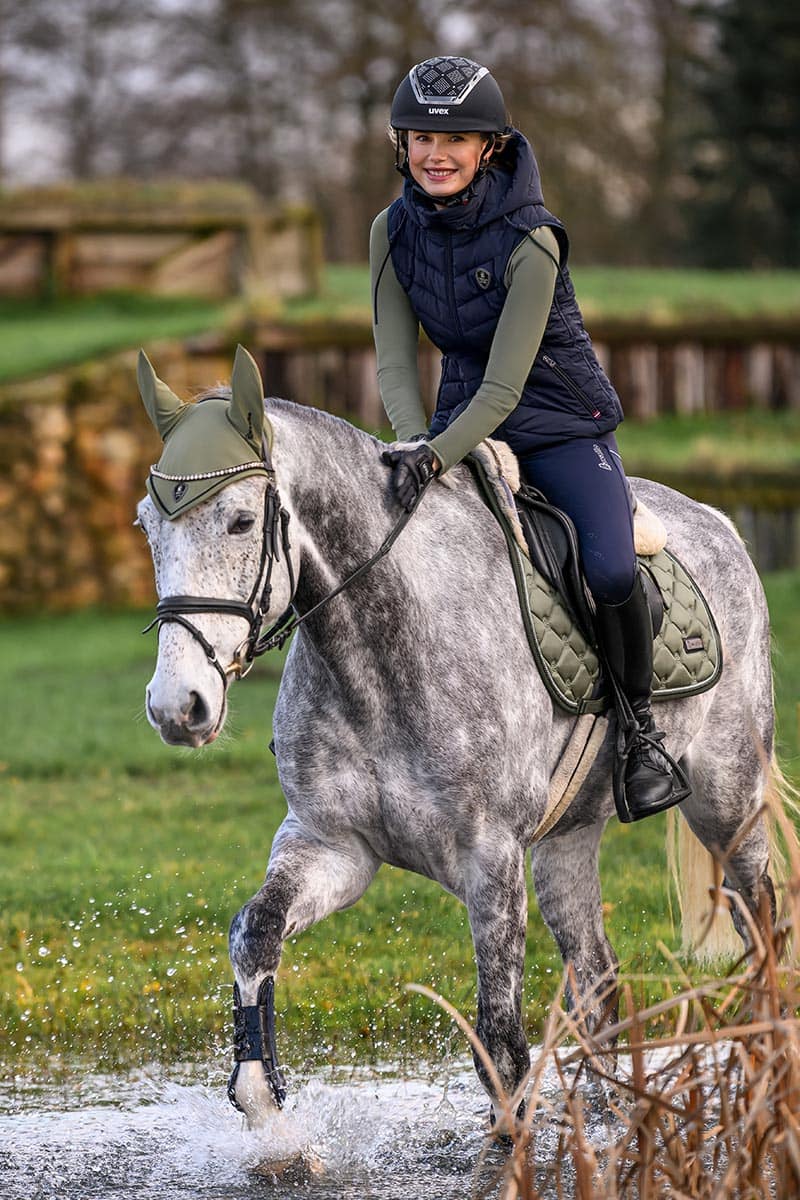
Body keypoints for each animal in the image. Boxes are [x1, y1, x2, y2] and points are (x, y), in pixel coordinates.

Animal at [136, 346, 778, 1130]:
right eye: (146, 526)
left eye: (239, 520)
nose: (178, 705)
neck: (379, 658)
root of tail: (719, 523)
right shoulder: (331, 846)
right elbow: (253, 932)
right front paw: (266, 1107)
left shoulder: (490, 862)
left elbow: (500, 1047)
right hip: (568, 839)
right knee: (599, 980)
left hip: (727, 798)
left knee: (761, 919)